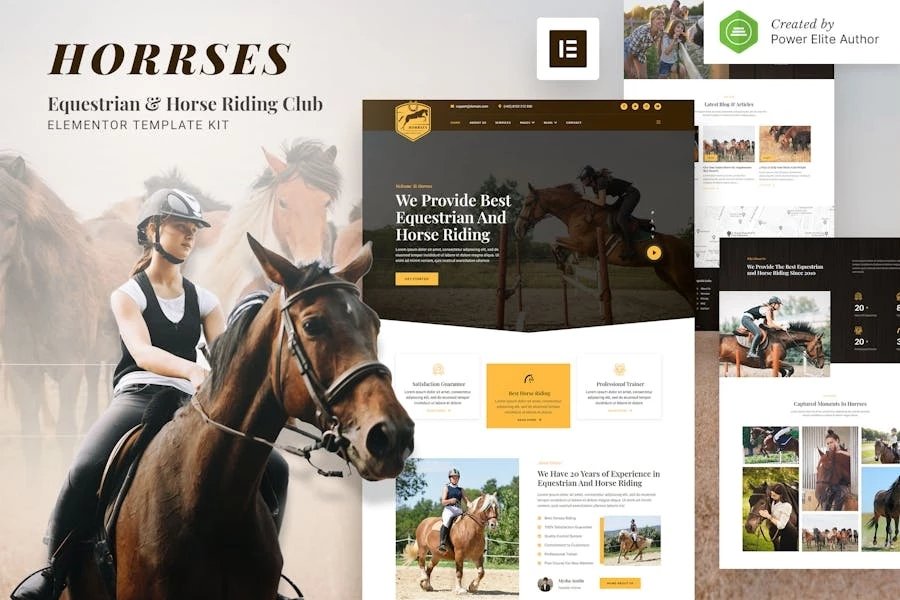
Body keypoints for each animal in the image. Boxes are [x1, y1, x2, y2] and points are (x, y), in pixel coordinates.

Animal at [514, 183, 695, 308]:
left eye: (528, 204)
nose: (517, 229)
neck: (576, 212)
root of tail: (686, 246)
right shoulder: (579, 245)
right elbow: (557, 244)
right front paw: (565, 264)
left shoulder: (585, 246)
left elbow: (554, 240)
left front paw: (563, 265)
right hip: (666, 276)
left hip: (681, 277)